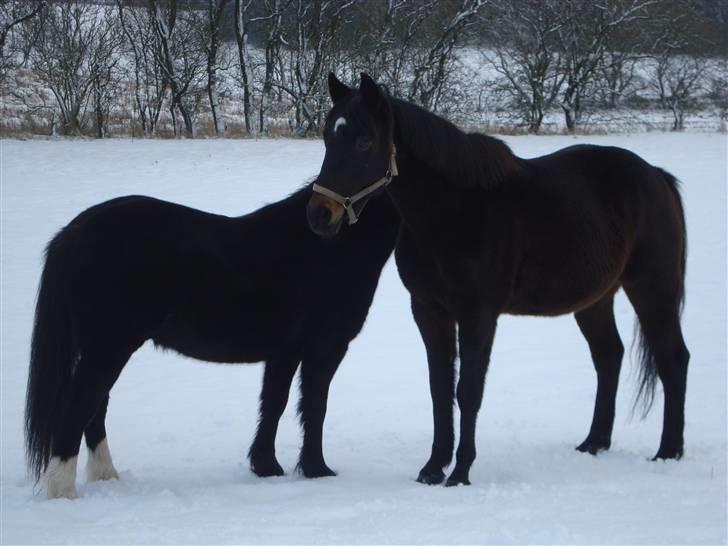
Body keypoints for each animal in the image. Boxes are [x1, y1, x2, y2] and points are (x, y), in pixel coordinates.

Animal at [24, 181, 398, 496]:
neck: (328, 248)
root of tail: (73, 233)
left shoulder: (284, 353)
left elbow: (273, 405)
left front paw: (266, 467)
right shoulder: (325, 349)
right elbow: (315, 407)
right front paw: (317, 470)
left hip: (103, 349)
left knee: (95, 409)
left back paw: (106, 477)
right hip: (108, 348)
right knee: (79, 407)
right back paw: (63, 491)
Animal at [308, 72, 692, 484]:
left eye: (364, 141)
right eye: (328, 136)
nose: (320, 214)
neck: (451, 212)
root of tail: (657, 177)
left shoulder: (478, 314)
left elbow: (468, 391)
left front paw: (460, 472)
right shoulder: (429, 310)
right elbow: (440, 389)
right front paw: (433, 468)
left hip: (652, 289)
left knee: (673, 358)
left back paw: (668, 451)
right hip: (595, 299)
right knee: (609, 356)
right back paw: (594, 443)